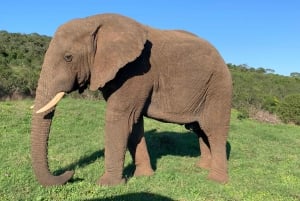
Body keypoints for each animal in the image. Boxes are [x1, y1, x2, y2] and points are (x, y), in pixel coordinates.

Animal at [30, 13, 232, 187]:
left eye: (68, 57)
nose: (71, 173)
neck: (93, 21)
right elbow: (134, 124)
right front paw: (144, 176)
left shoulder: (137, 70)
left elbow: (120, 118)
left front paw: (107, 184)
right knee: (199, 130)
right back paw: (201, 167)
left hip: (218, 87)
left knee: (214, 130)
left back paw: (215, 180)